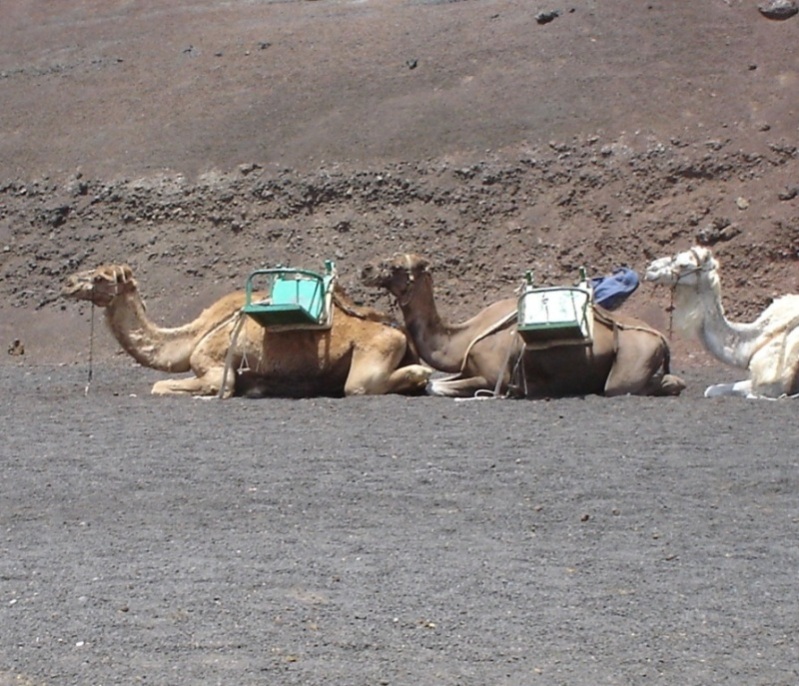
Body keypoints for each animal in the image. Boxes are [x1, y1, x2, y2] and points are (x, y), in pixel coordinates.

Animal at [61, 266, 438, 400]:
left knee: (360, 386)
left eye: (100, 276)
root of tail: (396, 329)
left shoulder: (215, 367)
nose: (67, 282)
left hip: (375, 351)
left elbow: (164, 386)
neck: (195, 334)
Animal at [362, 255, 688, 400]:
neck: (461, 338)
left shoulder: (494, 377)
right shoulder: (468, 369)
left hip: (631, 361)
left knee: (623, 387)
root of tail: (661, 338)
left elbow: (435, 386)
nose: (365, 269)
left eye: (397, 266)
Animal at [644, 246, 799, 398]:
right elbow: (711, 390)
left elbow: (717, 391)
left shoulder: (771, 385)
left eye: (684, 265)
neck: (754, 341)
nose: (651, 269)